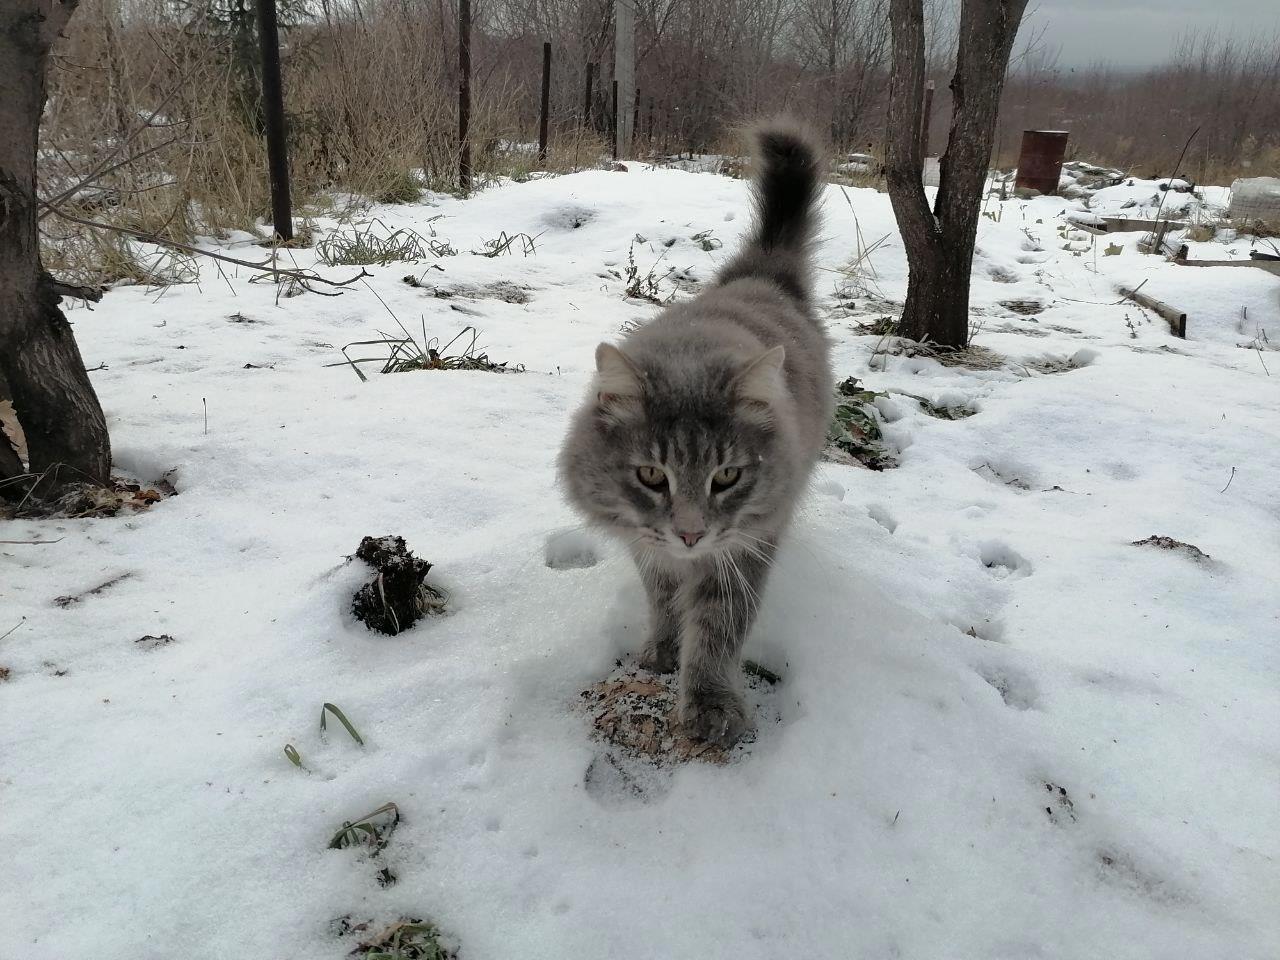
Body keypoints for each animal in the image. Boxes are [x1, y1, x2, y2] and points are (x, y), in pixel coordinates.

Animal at [558, 123, 833, 747]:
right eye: (650, 475)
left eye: (726, 475)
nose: (689, 534)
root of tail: (761, 273)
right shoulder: (649, 545)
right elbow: (663, 601)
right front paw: (662, 651)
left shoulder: (744, 547)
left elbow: (716, 626)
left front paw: (708, 702)